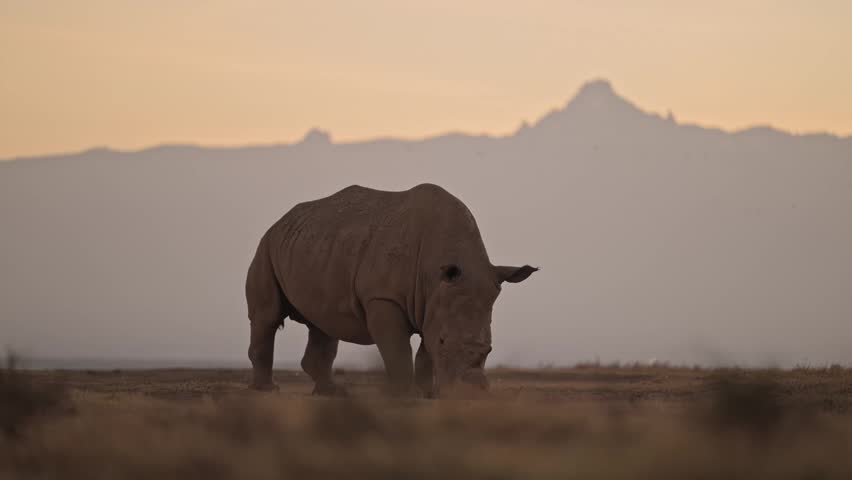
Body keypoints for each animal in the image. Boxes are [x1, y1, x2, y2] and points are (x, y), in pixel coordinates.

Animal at [246, 183, 536, 397]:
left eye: (489, 350)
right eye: (445, 341)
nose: (471, 393)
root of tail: (281, 221)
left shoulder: (433, 302)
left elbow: (425, 350)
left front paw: (428, 393)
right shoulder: (383, 297)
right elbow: (399, 349)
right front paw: (406, 395)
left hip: (315, 246)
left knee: (324, 323)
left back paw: (331, 392)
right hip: (266, 246)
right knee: (267, 317)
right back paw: (268, 390)